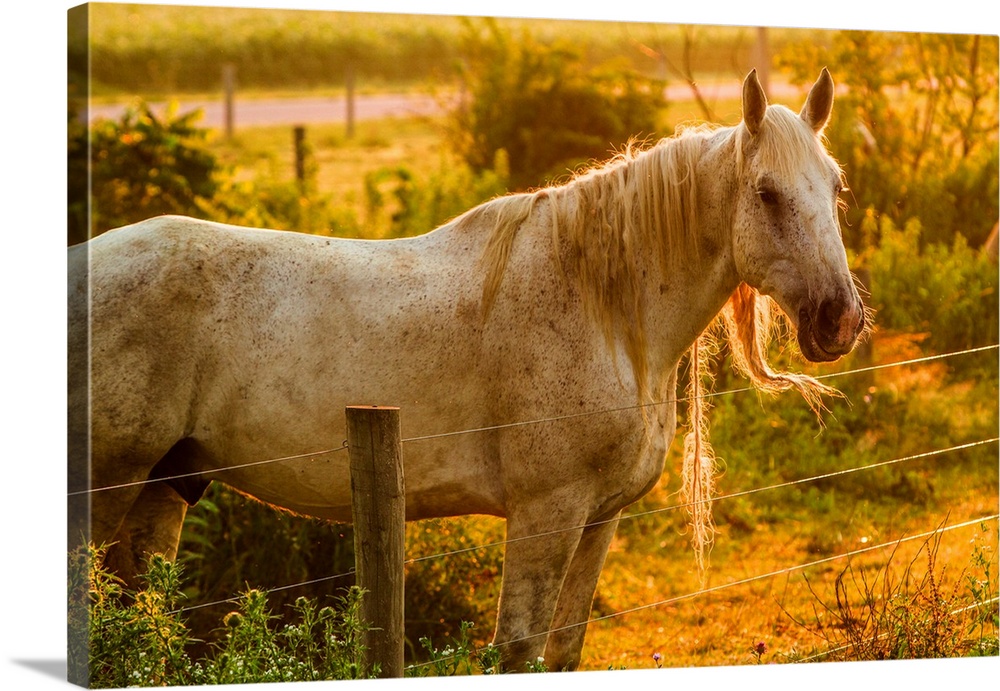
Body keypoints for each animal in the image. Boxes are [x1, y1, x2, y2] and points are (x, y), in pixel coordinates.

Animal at [70, 70, 868, 672]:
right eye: (766, 192)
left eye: (835, 186)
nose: (839, 319)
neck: (605, 308)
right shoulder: (547, 512)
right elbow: (515, 649)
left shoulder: (600, 517)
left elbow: (562, 650)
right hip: (108, 487)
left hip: (165, 487)